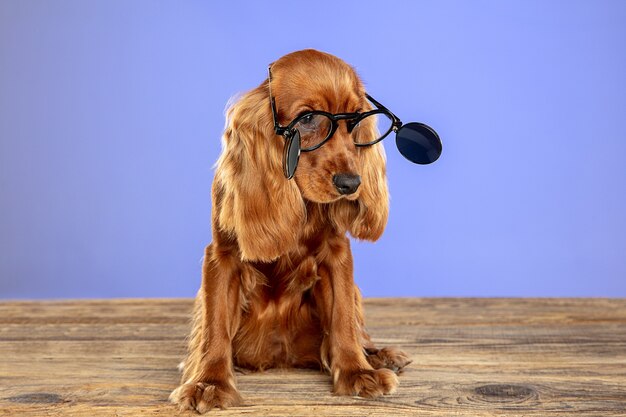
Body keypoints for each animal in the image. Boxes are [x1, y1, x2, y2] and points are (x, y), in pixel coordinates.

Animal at [168, 49, 410, 412]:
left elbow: (342, 320)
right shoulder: (221, 256)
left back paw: (377, 355)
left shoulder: (336, 254)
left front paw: (356, 371)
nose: (351, 183)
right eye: (307, 119)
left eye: (355, 119)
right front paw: (208, 382)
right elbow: (215, 326)